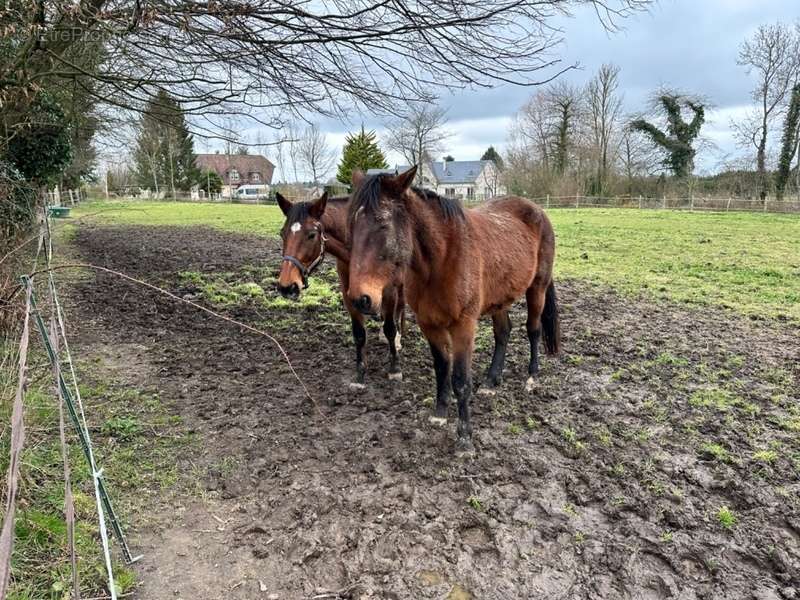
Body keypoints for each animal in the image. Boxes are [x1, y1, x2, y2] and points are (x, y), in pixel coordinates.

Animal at [276, 195, 406, 386]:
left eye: (311, 235)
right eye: (282, 233)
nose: (286, 286)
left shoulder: (390, 289)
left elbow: (390, 328)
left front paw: (395, 368)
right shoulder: (348, 293)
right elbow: (359, 334)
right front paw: (360, 373)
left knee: (400, 309)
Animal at [346, 166, 560, 452]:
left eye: (382, 224)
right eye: (352, 225)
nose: (360, 299)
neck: (441, 259)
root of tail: (537, 210)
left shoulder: (463, 326)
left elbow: (460, 379)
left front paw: (465, 438)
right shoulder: (429, 324)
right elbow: (441, 368)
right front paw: (439, 414)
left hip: (537, 288)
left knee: (533, 330)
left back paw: (532, 377)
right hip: (499, 299)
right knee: (503, 333)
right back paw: (491, 381)